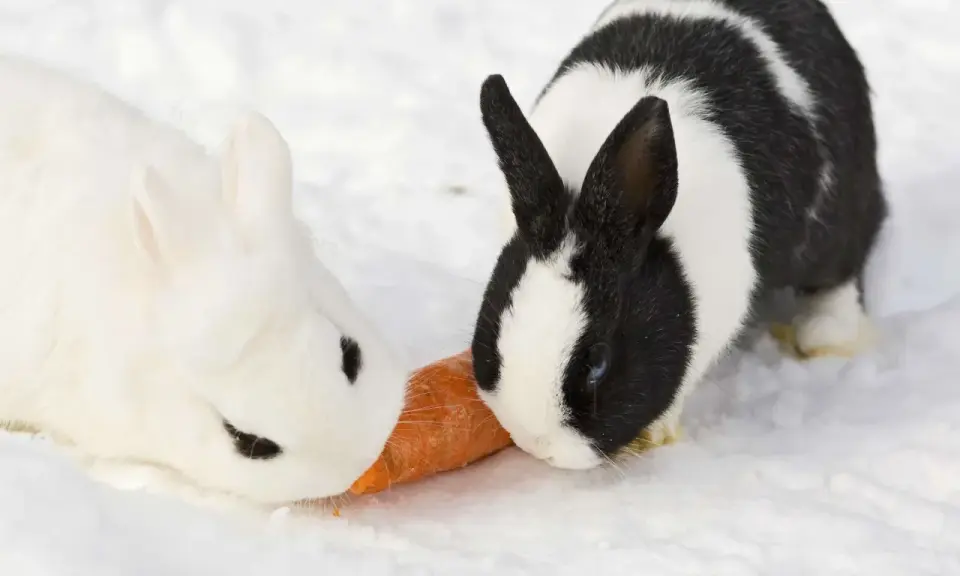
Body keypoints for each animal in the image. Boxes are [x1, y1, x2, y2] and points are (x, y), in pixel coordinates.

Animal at [470, 0, 888, 470]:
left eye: (597, 363)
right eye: (493, 327)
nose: (536, 444)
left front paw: (654, 434)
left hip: (841, 211)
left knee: (844, 267)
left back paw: (824, 337)